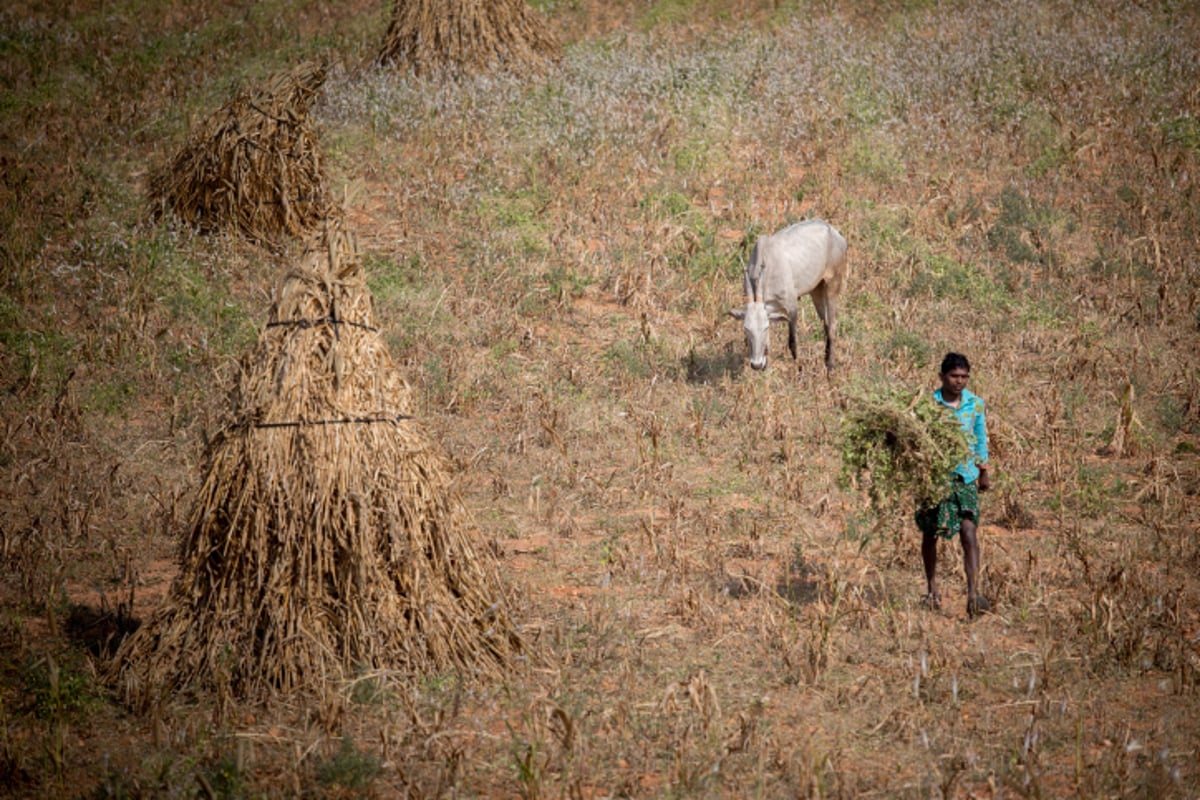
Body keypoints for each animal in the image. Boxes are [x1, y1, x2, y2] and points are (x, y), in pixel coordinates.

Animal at [724, 219, 849, 371]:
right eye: (746, 328)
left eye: (765, 328)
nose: (757, 365)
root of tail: (834, 232)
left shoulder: (792, 307)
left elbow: (792, 342)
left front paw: (798, 366)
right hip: (816, 290)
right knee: (825, 323)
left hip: (832, 284)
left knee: (832, 324)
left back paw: (830, 365)